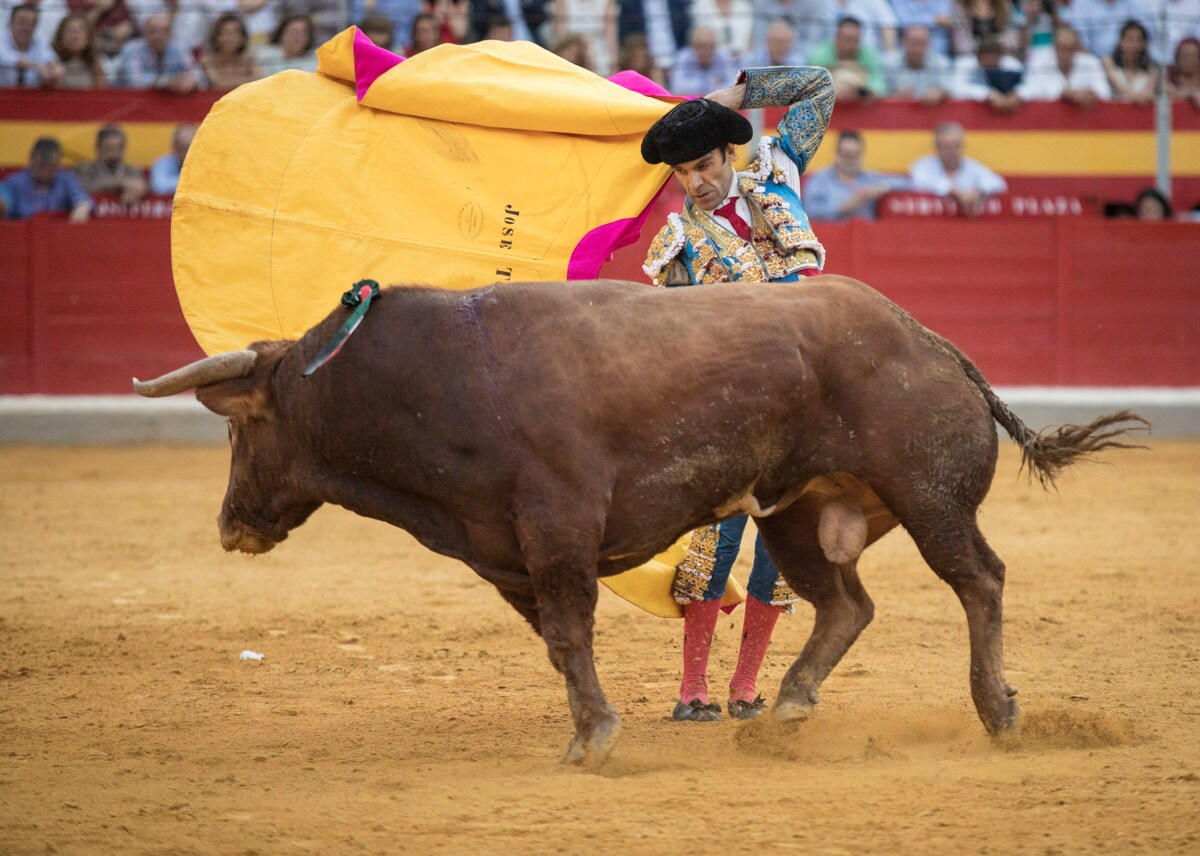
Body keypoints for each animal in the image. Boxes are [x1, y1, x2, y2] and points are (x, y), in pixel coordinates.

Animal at [131, 278, 1142, 768]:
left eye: (239, 429)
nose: (229, 525)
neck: (435, 378)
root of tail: (932, 341)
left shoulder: (556, 533)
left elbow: (572, 634)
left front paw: (596, 740)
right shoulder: (509, 555)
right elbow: (557, 642)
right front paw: (586, 731)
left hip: (928, 496)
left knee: (978, 579)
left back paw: (998, 711)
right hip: (795, 515)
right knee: (846, 606)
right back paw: (785, 712)